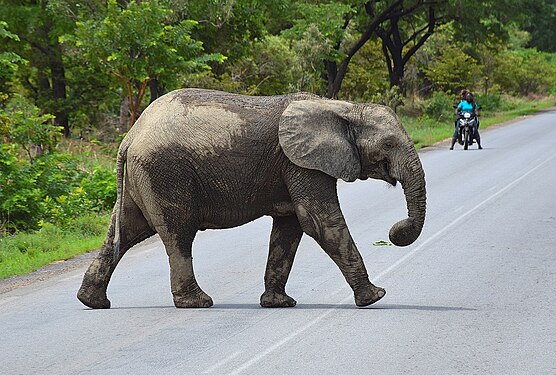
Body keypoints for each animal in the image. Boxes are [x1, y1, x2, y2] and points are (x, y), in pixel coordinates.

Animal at [77, 89, 426, 312]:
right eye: (389, 144)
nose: (396, 230)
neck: (344, 108)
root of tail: (129, 137)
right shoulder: (299, 163)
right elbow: (320, 222)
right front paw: (375, 297)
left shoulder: (294, 165)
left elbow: (290, 228)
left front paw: (278, 304)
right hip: (165, 173)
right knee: (178, 235)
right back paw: (197, 303)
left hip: (144, 177)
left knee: (125, 231)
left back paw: (93, 302)